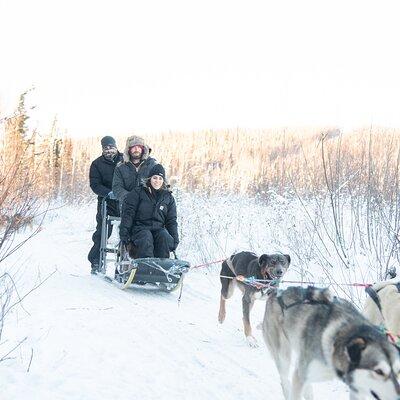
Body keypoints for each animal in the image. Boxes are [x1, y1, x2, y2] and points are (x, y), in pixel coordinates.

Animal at [262, 286, 400, 398]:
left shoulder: (358, 389)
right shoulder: (300, 376)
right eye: (379, 371)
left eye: (398, 371)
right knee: (285, 380)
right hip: (284, 357)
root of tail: (276, 293)